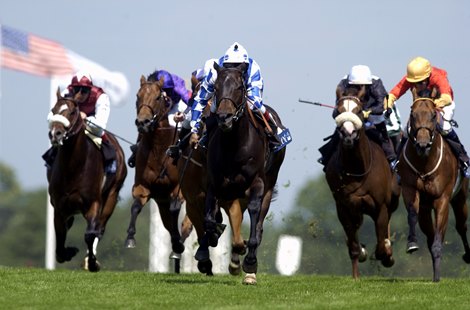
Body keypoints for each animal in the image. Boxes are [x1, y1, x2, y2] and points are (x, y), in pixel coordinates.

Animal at [47, 89, 126, 272]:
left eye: (72, 112)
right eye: (53, 110)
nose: (55, 134)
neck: (73, 167)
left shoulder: (93, 203)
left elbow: (90, 235)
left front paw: (92, 262)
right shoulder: (59, 207)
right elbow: (60, 239)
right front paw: (70, 252)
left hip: (111, 196)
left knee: (100, 228)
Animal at [126, 72, 192, 264]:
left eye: (157, 97)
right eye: (137, 96)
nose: (143, 122)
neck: (159, 151)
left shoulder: (178, 189)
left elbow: (176, 210)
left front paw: (177, 245)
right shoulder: (143, 186)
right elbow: (135, 206)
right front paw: (130, 238)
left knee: (189, 222)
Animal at [197, 64, 286, 284]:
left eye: (239, 87)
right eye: (216, 87)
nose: (224, 117)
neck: (234, 146)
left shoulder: (257, 183)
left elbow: (253, 215)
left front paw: (250, 263)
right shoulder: (215, 184)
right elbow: (210, 218)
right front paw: (211, 241)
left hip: (268, 187)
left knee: (259, 224)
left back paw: (248, 268)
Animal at [324, 84, 402, 278]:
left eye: (358, 110)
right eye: (338, 110)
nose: (348, 134)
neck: (357, 170)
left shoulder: (380, 207)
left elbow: (381, 245)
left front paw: (387, 254)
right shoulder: (344, 208)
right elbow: (353, 247)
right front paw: (356, 274)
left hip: (392, 201)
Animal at [396, 87, 470, 280]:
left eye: (432, 115)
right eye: (412, 114)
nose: (422, 145)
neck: (424, 163)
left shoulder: (442, 199)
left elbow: (439, 236)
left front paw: (437, 277)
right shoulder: (410, 190)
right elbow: (412, 215)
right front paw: (412, 243)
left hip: (460, 198)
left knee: (461, 226)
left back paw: (467, 255)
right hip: (426, 209)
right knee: (429, 234)